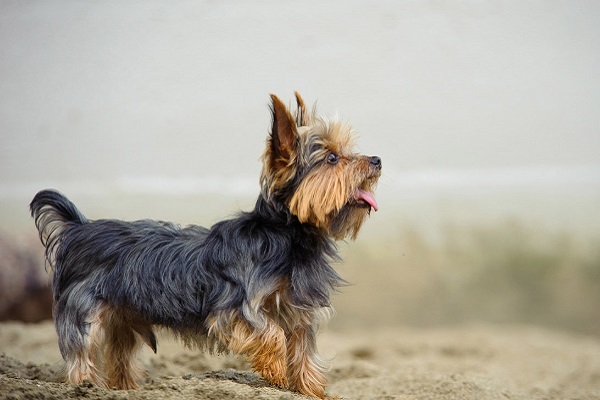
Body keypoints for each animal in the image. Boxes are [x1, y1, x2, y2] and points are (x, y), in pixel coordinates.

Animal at [30, 93, 382, 396]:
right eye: (332, 158)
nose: (377, 159)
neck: (287, 236)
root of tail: (79, 228)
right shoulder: (236, 307)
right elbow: (271, 334)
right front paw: (276, 372)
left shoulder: (299, 312)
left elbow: (304, 352)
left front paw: (312, 391)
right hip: (84, 311)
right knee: (82, 352)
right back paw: (84, 386)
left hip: (121, 317)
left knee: (120, 356)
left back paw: (121, 389)